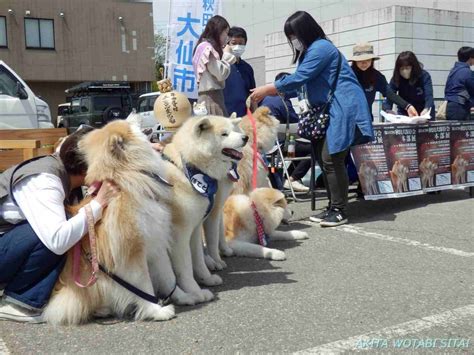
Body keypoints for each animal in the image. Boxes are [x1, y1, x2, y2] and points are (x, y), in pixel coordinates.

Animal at [43, 120, 177, 326]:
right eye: (129, 123)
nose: (140, 118)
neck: (127, 181)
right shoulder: (132, 251)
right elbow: (145, 286)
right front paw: (157, 310)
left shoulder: (155, 240)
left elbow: (168, 275)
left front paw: (186, 295)